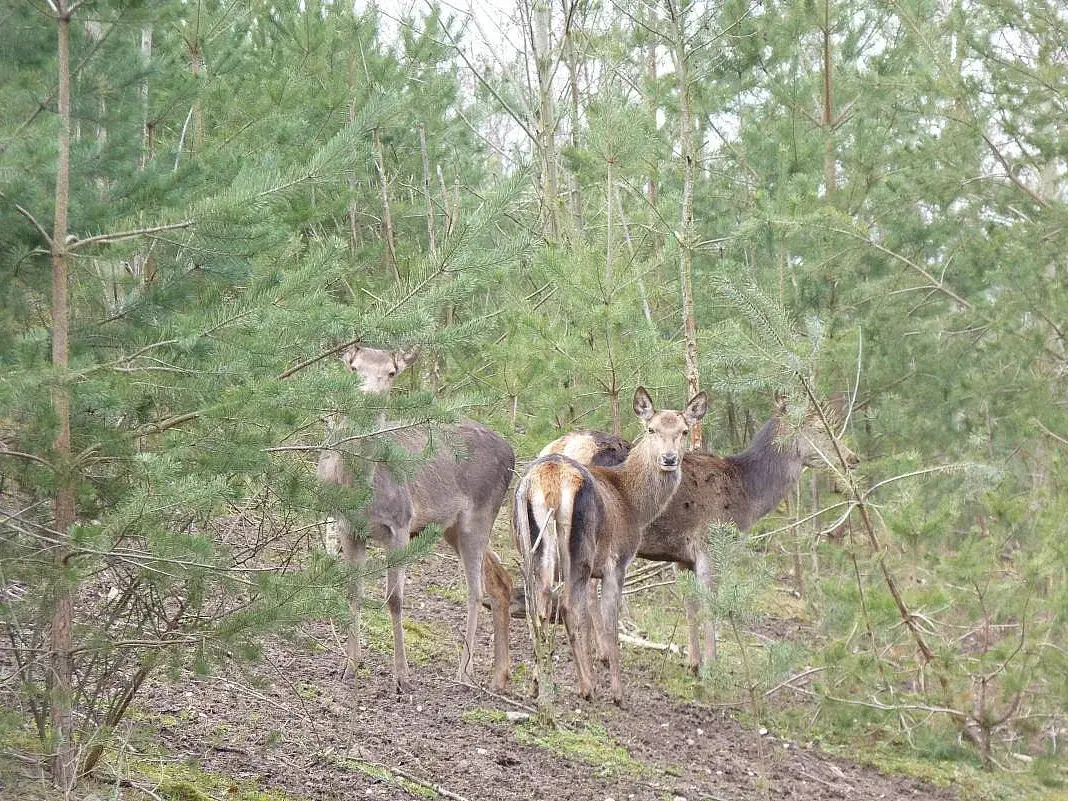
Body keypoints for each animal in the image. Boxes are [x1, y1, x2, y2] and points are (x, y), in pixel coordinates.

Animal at [313, 346, 514, 696]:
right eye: (354, 367)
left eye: (391, 372)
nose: (369, 395)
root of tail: (513, 452)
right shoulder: (348, 527)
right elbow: (353, 591)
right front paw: (349, 666)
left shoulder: (401, 525)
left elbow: (394, 599)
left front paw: (402, 676)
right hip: (450, 527)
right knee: (498, 581)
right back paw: (498, 676)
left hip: (481, 512)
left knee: (475, 590)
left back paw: (464, 672)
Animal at [510, 388, 704, 709]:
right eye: (651, 429)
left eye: (684, 431)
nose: (669, 459)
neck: (633, 504)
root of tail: (549, 479)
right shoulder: (617, 562)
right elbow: (611, 623)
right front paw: (617, 693)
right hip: (579, 552)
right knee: (566, 606)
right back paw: (587, 688)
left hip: (530, 546)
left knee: (538, 604)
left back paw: (538, 684)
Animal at [542, 393, 858, 670]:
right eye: (821, 428)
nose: (851, 457)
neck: (750, 496)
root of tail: (561, 447)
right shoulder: (711, 545)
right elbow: (710, 604)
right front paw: (712, 665)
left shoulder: (682, 557)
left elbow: (690, 604)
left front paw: (693, 662)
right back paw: (602, 652)